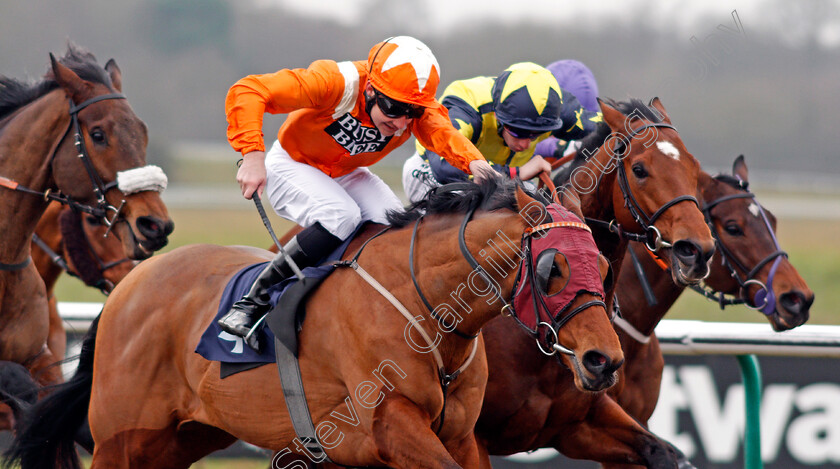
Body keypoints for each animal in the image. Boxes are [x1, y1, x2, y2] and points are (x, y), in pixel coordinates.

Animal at [6, 180, 624, 468]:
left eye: (604, 265)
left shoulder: (458, 436)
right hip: (122, 438)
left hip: (183, 437)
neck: (426, 311)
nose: (605, 361)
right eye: (552, 269)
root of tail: (129, 287)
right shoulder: (391, 427)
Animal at [466, 97, 716, 466]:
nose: (697, 250)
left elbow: (664, 453)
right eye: (639, 169)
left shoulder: (582, 422)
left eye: (694, 167)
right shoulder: (471, 435)